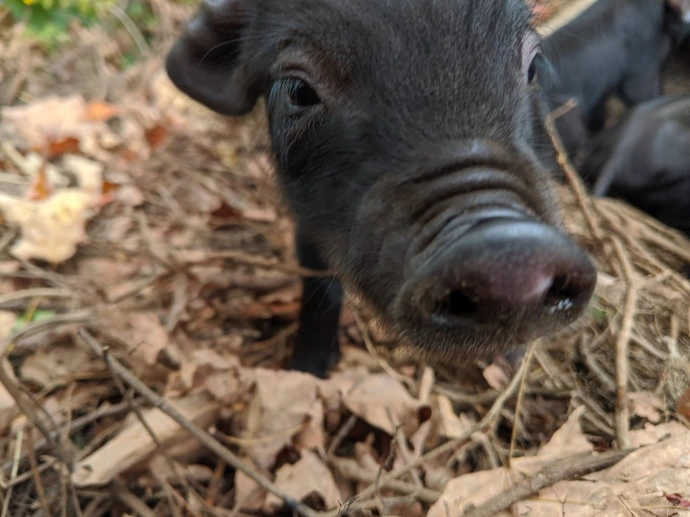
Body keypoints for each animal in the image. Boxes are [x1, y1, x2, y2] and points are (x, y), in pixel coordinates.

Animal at [166, 0, 598, 378]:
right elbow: (319, 281)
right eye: (297, 90)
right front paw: (308, 372)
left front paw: (509, 364)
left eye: (533, 66)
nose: (510, 251)